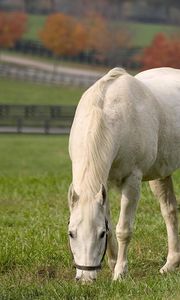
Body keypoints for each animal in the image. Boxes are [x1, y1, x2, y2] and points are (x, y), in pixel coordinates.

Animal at [68, 67, 180, 282]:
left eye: (100, 234)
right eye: (71, 233)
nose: (86, 278)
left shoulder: (132, 181)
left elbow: (123, 229)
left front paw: (120, 272)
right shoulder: (104, 184)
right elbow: (112, 225)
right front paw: (112, 265)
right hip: (161, 174)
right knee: (169, 212)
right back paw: (170, 264)